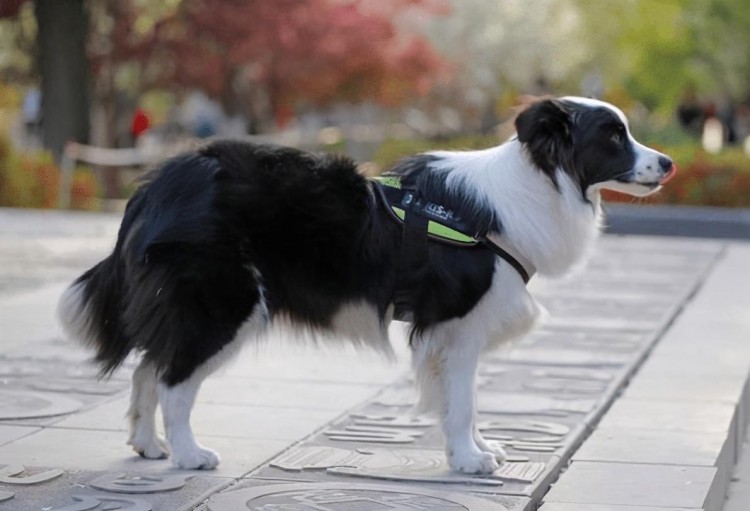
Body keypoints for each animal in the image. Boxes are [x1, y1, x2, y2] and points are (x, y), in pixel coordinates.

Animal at [57, 97, 676, 476]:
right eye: (613, 137)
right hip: (225, 304)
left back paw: (148, 445)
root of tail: (157, 184)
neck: (538, 184)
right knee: (174, 380)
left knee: (149, 364)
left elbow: (463, 403)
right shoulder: (458, 325)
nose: (669, 162)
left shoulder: (453, 332)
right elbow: (463, 402)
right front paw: (468, 460)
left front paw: (476, 451)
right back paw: (188, 453)